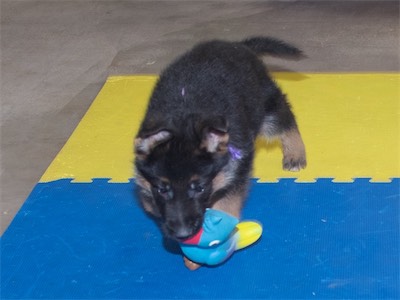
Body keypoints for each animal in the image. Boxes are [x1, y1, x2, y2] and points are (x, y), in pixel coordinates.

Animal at [134, 36, 306, 268]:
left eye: (199, 187)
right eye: (162, 189)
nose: (183, 233)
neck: (183, 117)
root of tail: (237, 45)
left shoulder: (237, 168)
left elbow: (226, 204)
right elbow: (149, 202)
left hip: (264, 106)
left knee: (284, 116)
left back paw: (296, 153)